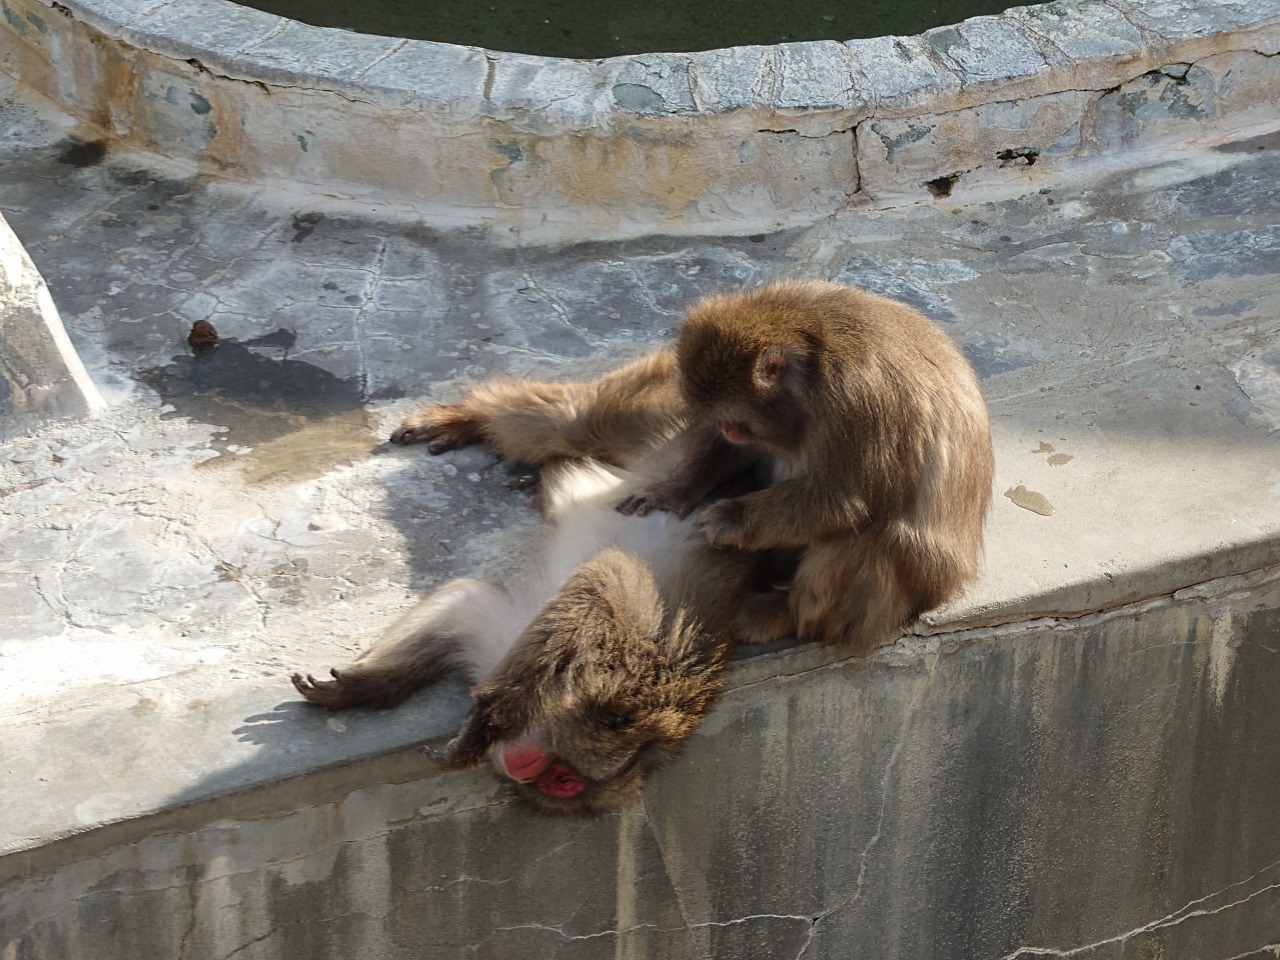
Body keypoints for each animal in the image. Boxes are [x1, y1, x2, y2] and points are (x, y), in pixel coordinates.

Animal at [614, 277, 993, 655]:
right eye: (723, 423)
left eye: (736, 423)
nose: (728, 431)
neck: (810, 361)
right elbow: (739, 454)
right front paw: (672, 490)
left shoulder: (856, 399)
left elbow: (841, 501)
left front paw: (729, 518)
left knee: (879, 537)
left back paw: (783, 613)